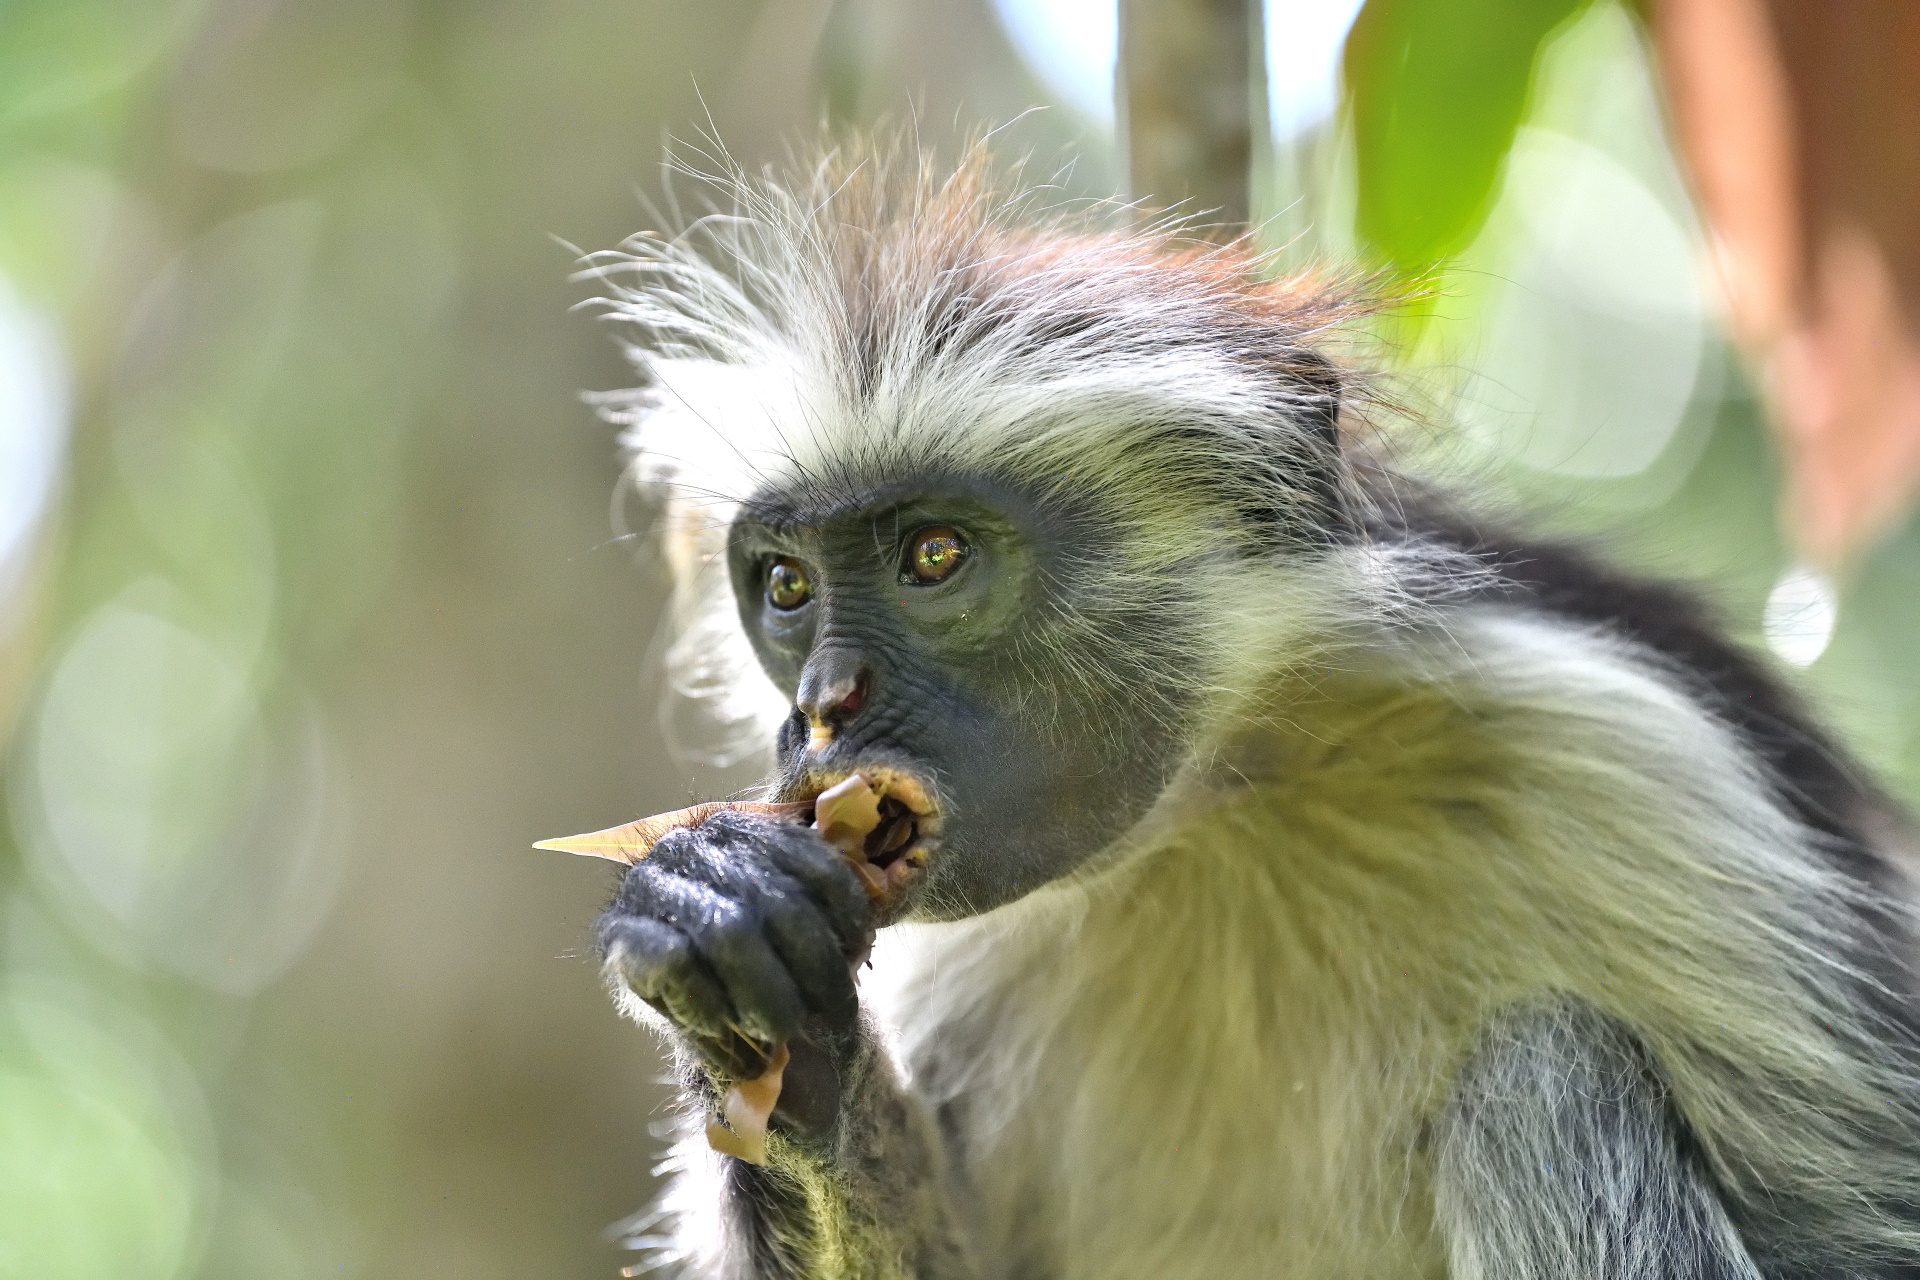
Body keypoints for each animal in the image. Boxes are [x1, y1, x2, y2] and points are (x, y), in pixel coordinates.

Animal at [578, 143, 1920, 1280]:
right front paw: (744, 958)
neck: (1226, 801)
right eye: (787, 587)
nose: (823, 700)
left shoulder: (1643, 762)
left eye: (934, 557)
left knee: (1541, 1077)